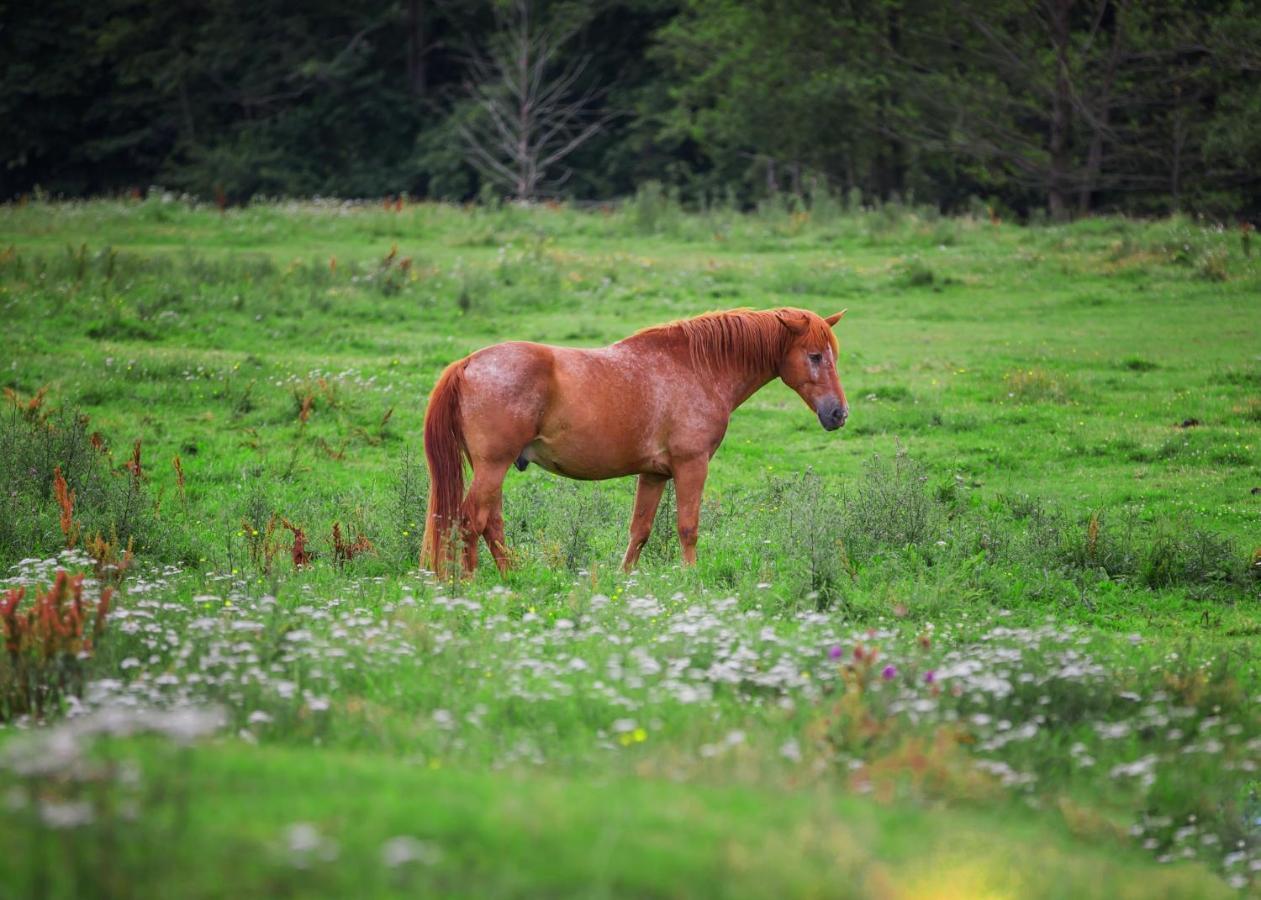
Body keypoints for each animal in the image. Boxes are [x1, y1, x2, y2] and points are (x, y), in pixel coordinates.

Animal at [421, 306, 847, 574]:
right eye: (814, 356)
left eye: (833, 356)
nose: (838, 413)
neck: (698, 367)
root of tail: (467, 364)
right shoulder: (691, 466)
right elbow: (688, 527)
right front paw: (691, 581)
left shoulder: (654, 474)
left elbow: (639, 531)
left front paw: (624, 581)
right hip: (493, 466)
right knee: (470, 522)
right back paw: (470, 584)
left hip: (492, 468)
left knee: (490, 525)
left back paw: (512, 579)